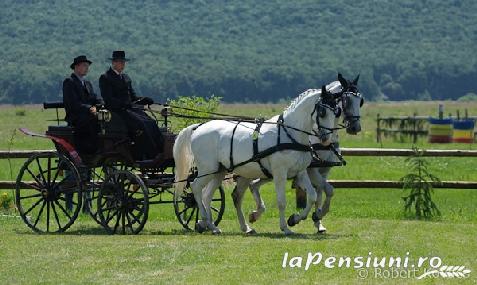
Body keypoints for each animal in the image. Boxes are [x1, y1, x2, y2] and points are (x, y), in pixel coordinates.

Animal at [174, 85, 334, 234]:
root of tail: (199, 127)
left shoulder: (300, 172)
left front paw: (295, 219)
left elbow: (312, 196)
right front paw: (285, 227)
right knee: (196, 187)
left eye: (336, 111)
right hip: (207, 169)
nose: (326, 139)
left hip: (219, 171)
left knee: (207, 195)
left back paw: (213, 226)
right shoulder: (280, 174)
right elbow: (281, 201)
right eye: (323, 112)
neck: (289, 134)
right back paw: (204, 220)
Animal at [236, 73, 362, 233]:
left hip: (265, 173)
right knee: (238, 194)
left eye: (361, 101)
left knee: (253, 186)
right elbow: (326, 190)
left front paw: (318, 220)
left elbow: (322, 192)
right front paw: (304, 217)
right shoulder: (311, 171)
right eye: (346, 100)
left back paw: (254, 215)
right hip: (246, 171)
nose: (355, 127)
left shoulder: (323, 171)